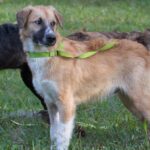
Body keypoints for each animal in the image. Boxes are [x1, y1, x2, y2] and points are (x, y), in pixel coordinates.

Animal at [17, 5, 150, 149]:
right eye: (38, 22)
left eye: (53, 23)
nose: (52, 38)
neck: (48, 55)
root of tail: (143, 50)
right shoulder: (51, 103)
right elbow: (54, 134)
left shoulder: (66, 105)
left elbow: (62, 136)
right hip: (129, 100)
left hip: (139, 99)